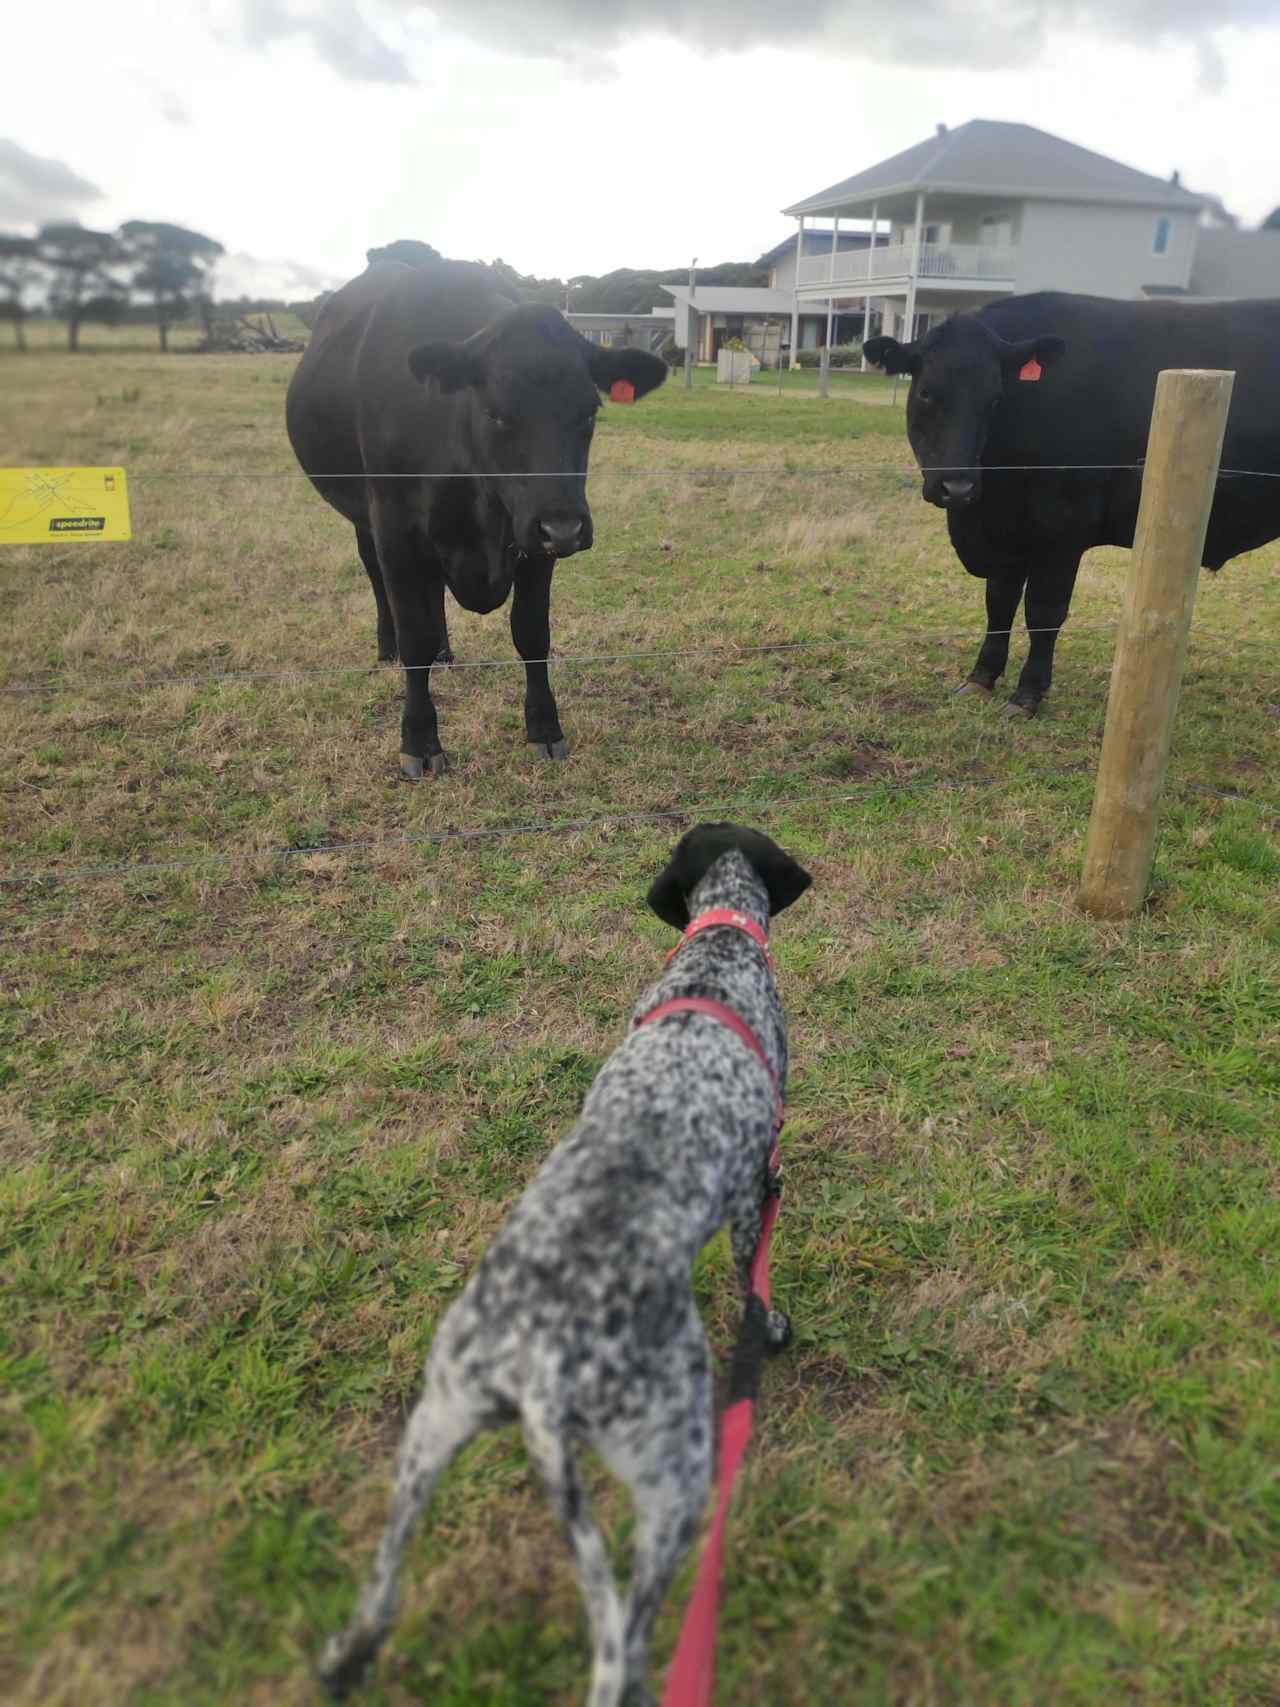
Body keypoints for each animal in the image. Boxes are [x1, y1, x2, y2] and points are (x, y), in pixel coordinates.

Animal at [285, 259, 665, 774]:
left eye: (590, 411)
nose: (566, 528)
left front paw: (545, 728)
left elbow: (531, 633)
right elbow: (415, 637)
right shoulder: (396, 529)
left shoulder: (532, 539)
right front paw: (419, 741)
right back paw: (386, 647)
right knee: (377, 580)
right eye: (495, 413)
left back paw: (446, 651)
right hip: (365, 517)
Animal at [319, 819, 812, 1700]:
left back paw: (348, 1659)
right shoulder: (753, 1193)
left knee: (381, 1587)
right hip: (675, 1479)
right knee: (627, 1639)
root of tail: (544, 1368)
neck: (715, 956)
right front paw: (774, 1324)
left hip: (431, 1430)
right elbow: (754, 1279)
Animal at [866, 293, 1280, 713]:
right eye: (926, 393)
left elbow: (1043, 611)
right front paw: (981, 676)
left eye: (995, 399)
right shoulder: (1009, 530)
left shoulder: (1063, 527)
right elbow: (999, 601)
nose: (958, 487)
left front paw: (1028, 693)